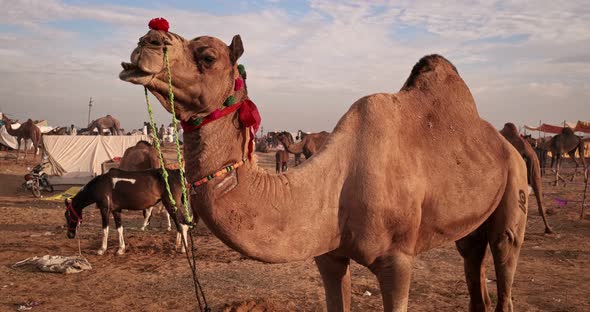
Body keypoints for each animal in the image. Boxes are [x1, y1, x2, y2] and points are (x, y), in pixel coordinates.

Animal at [121, 26, 532, 312]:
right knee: (473, 263)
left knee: (505, 260)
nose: (146, 39)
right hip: (471, 223)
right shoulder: (328, 255)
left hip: (516, 186)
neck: (333, 185)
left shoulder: (398, 260)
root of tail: (506, 146)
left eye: (206, 56)